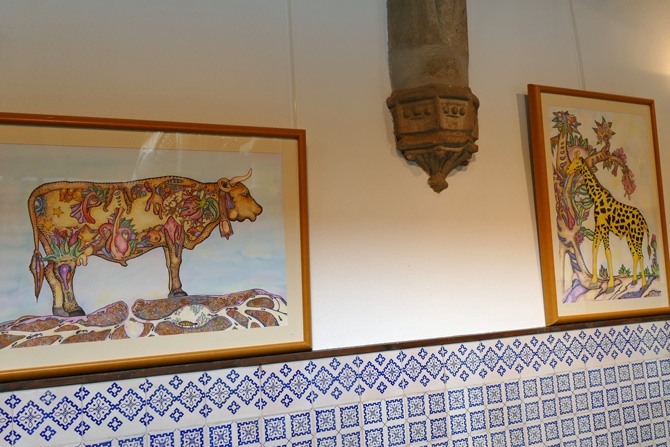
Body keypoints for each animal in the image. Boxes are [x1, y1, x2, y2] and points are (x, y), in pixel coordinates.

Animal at [28, 170, 262, 317]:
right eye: (244, 192)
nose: (260, 209)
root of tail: (40, 192)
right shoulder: (175, 230)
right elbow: (176, 261)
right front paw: (179, 292)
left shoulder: (167, 238)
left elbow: (170, 263)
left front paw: (173, 290)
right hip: (66, 247)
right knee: (65, 272)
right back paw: (73, 308)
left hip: (51, 248)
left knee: (50, 273)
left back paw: (59, 309)